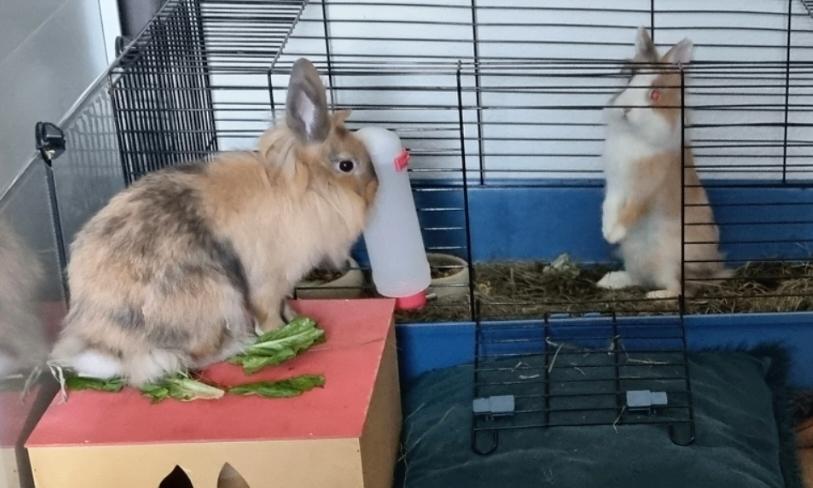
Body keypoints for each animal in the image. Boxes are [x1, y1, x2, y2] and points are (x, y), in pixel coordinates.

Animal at [50, 58, 378, 386]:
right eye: (346, 165)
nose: (375, 187)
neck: (308, 190)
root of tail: (109, 350)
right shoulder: (268, 282)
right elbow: (268, 313)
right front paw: (280, 331)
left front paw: (295, 319)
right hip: (218, 299)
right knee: (191, 357)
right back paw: (239, 344)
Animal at [597, 27, 729, 299]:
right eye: (629, 80)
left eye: (655, 94)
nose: (625, 109)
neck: (634, 136)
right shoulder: (615, 184)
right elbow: (609, 206)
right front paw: (606, 232)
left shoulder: (644, 189)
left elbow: (632, 210)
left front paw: (615, 233)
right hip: (634, 255)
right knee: (639, 278)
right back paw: (610, 281)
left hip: (669, 260)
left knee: (678, 289)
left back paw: (655, 296)